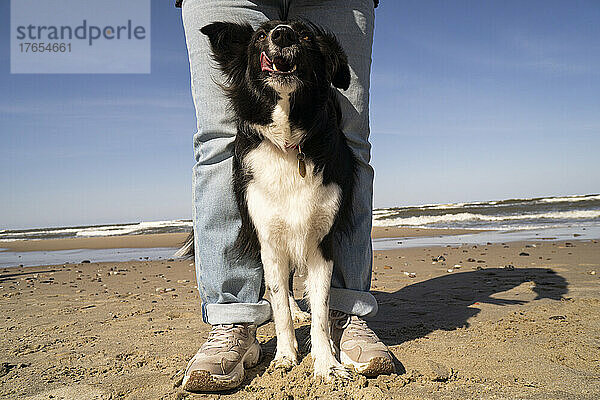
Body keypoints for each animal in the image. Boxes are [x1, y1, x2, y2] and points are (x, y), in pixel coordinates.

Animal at [182, 20, 356, 380]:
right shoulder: (269, 240)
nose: (282, 33)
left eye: (305, 35)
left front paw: (327, 364)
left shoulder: (321, 240)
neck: (289, 143)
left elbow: (322, 311)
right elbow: (278, 305)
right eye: (261, 35)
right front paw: (285, 356)